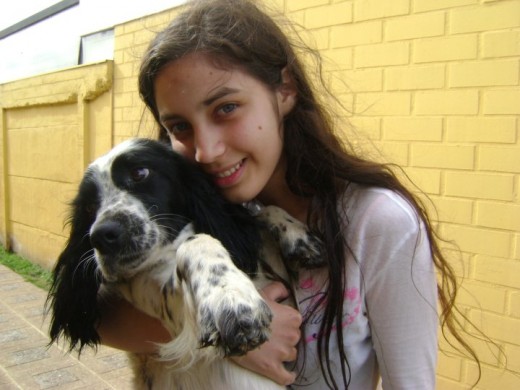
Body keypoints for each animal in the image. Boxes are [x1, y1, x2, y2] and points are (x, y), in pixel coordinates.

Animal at [45, 139, 320, 388]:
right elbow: (196, 242)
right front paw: (230, 299)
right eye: (89, 206)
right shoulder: (158, 294)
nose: (102, 236)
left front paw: (299, 237)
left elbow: (261, 212)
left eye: (139, 172)